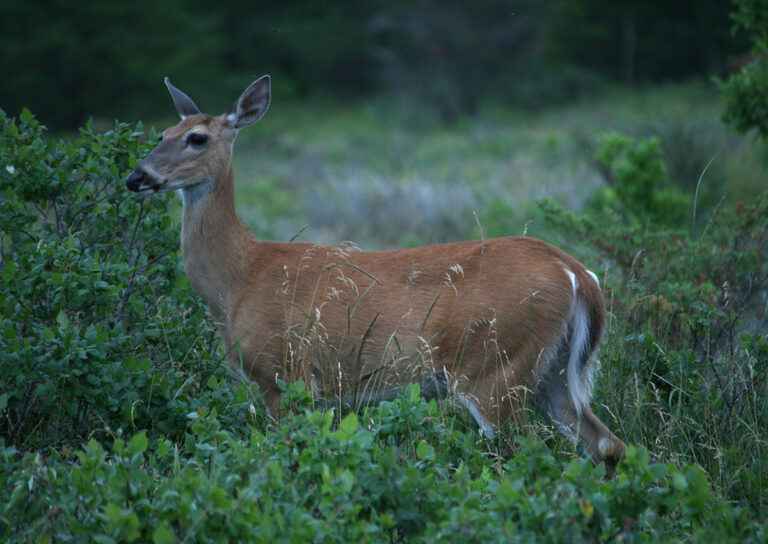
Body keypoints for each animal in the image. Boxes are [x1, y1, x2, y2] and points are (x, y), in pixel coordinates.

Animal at [125, 76, 626, 475]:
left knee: (527, 452)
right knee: (606, 442)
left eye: (196, 138)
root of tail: (576, 273)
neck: (240, 278)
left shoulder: (285, 374)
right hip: (551, 371)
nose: (136, 176)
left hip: (494, 364)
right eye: (162, 132)